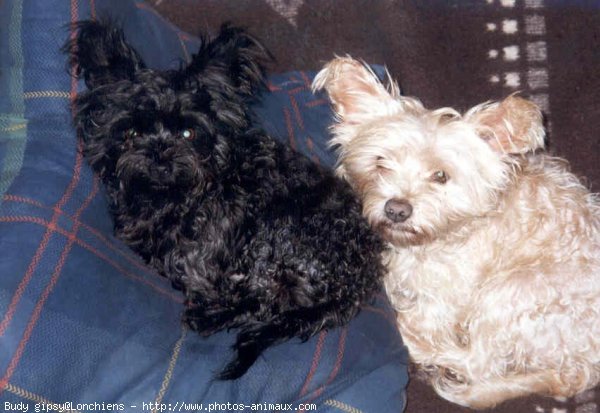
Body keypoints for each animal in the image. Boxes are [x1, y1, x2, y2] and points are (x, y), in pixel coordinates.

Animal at [65, 20, 384, 380]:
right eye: (132, 133)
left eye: (188, 133)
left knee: (263, 303)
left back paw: (208, 317)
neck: (176, 202)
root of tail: (359, 282)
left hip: (278, 238)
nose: (160, 158)